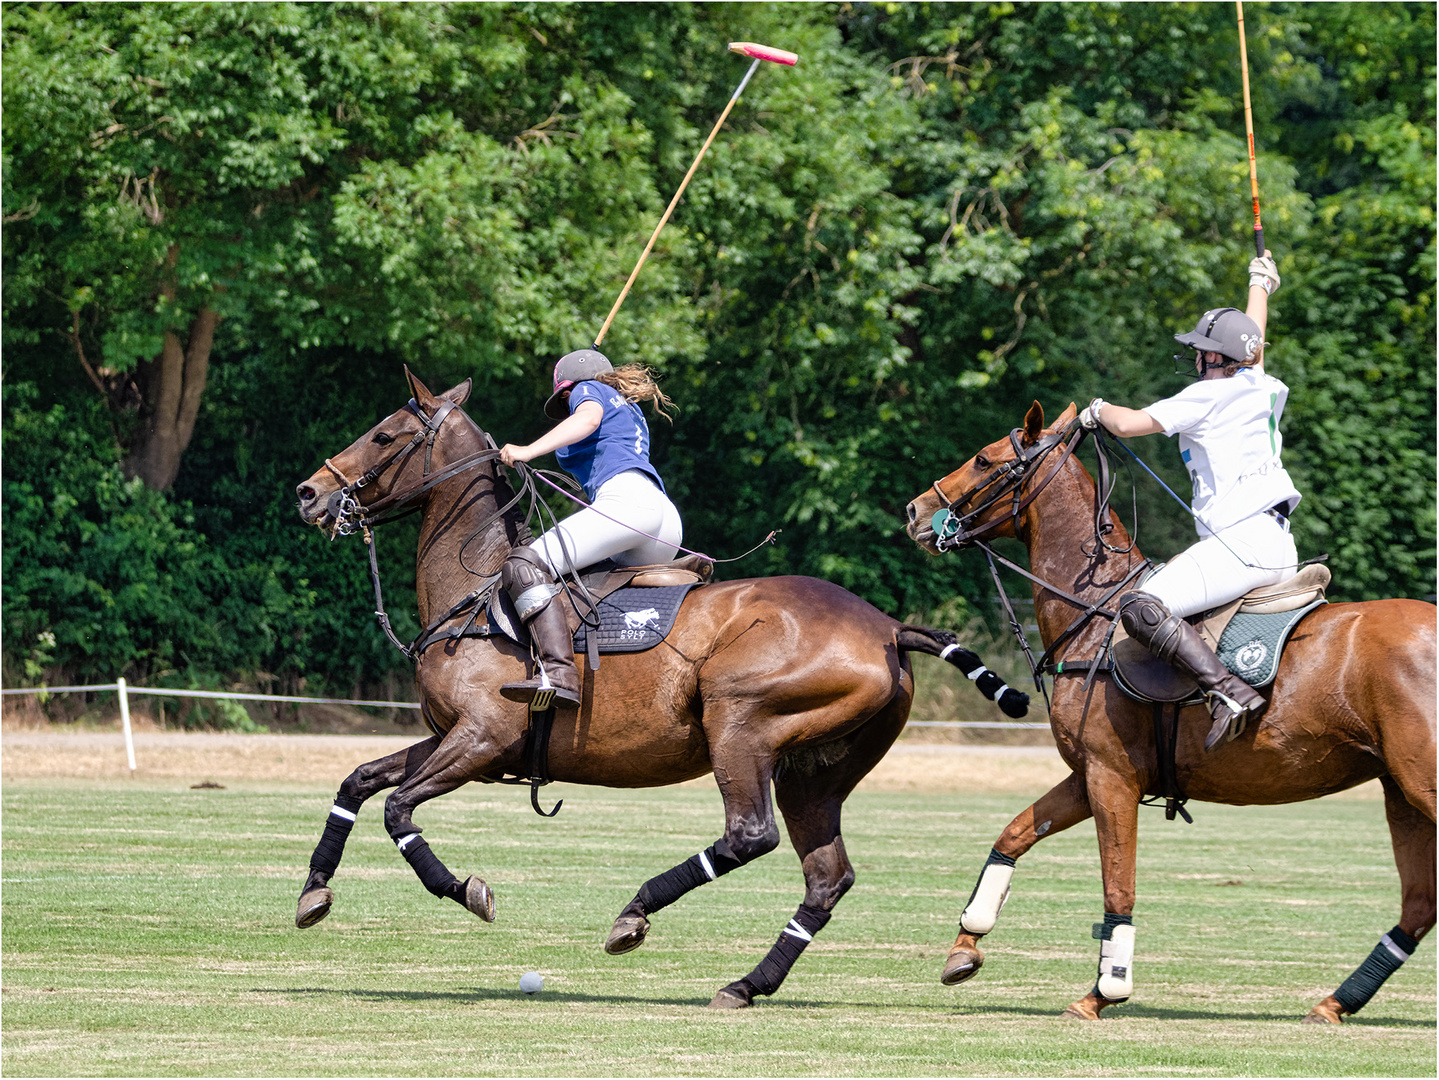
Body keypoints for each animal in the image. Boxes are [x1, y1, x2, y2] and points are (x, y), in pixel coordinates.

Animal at [289, 368, 1024, 1012]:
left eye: (384, 435)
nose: (307, 493)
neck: (473, 594)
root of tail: (888, 627)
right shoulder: (459, 740)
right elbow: (359, 781)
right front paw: (312, 894)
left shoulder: (482, 738)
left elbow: (398, 810)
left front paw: (467, 889)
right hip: (815, 770)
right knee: (826, 877)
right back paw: (745, 985)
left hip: (741, 724)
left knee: (749, 835)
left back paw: (634, 913)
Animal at [903, 402, 1433, 1023]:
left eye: (986, 459)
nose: (916, 511)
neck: (1096, 610)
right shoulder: (1092, 774)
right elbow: (1012, 835)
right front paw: (964, 948)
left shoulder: (1112, 777)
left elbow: (1118, 884)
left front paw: (1103, 991)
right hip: (1400, 790)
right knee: (1420, 905)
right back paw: (1334, 1003)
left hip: (1420, 782)